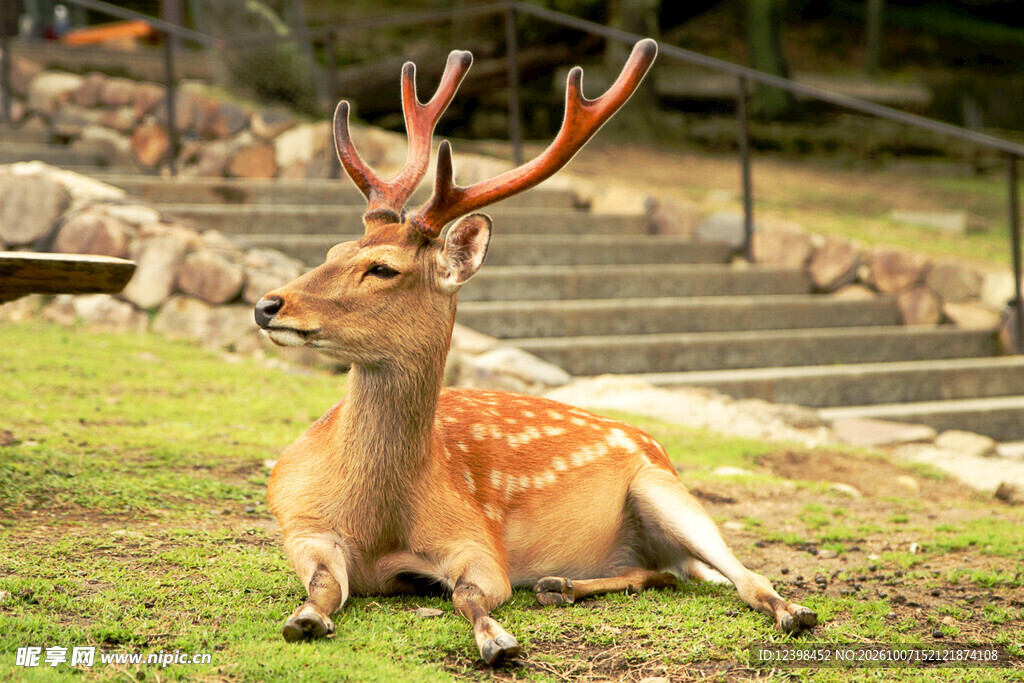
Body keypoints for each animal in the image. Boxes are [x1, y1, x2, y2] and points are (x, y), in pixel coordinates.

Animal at [253, 39, 817, 666]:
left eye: (382, 268)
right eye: (333, 250)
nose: (268, 304)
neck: (376, 523)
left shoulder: (476, 537)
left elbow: (471, 593)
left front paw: (497, 639)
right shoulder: (299, 521)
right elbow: (325, 585)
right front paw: (304, 618)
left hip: (664, 486)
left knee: (742, 576)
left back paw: (794, 611)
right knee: (665, 574)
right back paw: (560, 584)